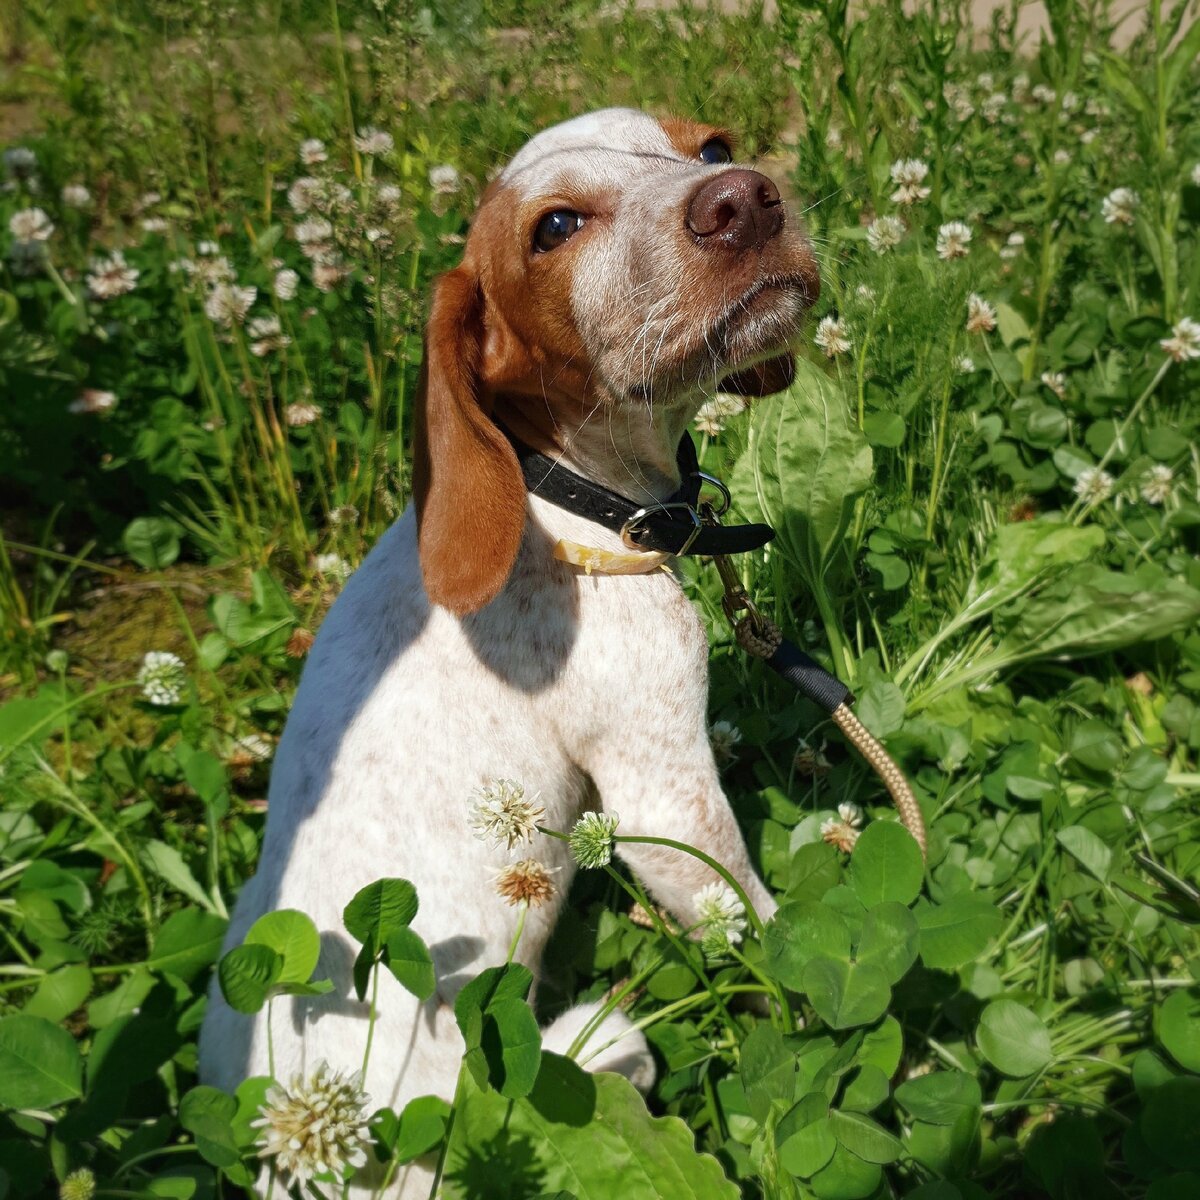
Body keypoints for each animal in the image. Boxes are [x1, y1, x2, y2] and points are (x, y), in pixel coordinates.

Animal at [201, 108, 820, 1195]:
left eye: (708, 147)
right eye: (555, 227)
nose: (748, 199)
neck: (560, 497)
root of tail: (300, 1153)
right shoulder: (661, 790)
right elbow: (751, 920)